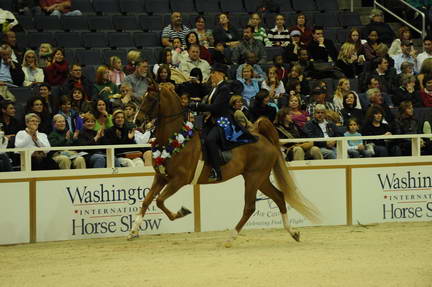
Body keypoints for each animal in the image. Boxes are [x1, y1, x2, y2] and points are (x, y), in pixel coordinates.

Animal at [126, 84, 318, 245]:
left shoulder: (178, 180)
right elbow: (147, 201)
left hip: (254, 178)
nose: (136, 121)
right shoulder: (161, 177)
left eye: (151, 99)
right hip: (261, 179)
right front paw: (133, 231)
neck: (174, 140)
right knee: (279, 197)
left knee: (250, 207)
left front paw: (180, 212)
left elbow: (159, 201)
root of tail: (264, 139)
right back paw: (293, 233)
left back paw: (231, 237)